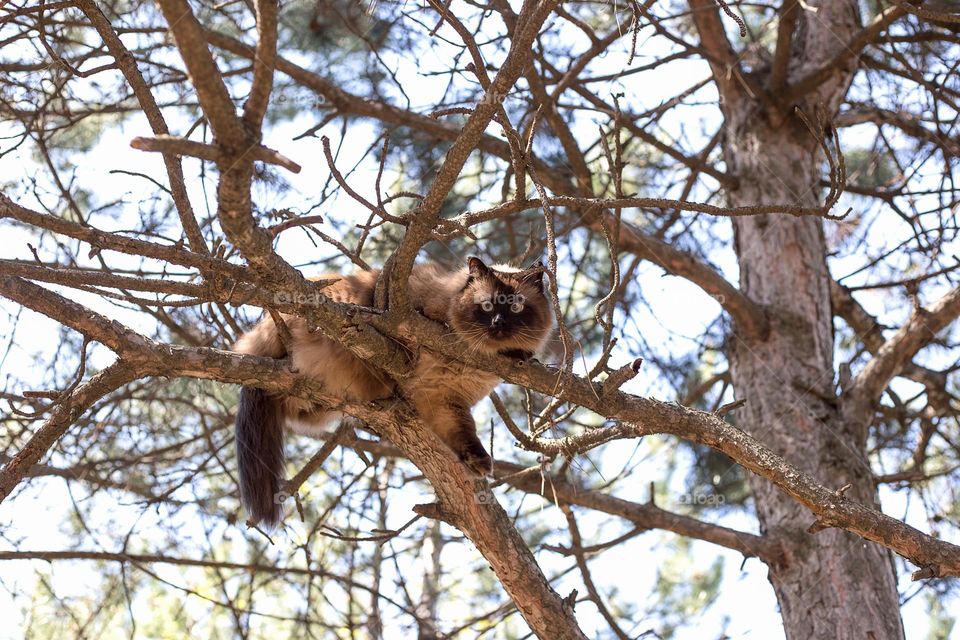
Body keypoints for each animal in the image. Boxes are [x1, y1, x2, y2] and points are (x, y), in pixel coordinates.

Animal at [232, 258, 556, 528]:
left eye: (516, 308)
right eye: (487, 306)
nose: (498, 324)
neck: (478, 360)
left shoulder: (444, 401)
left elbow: (464, 432)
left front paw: (478, 463)